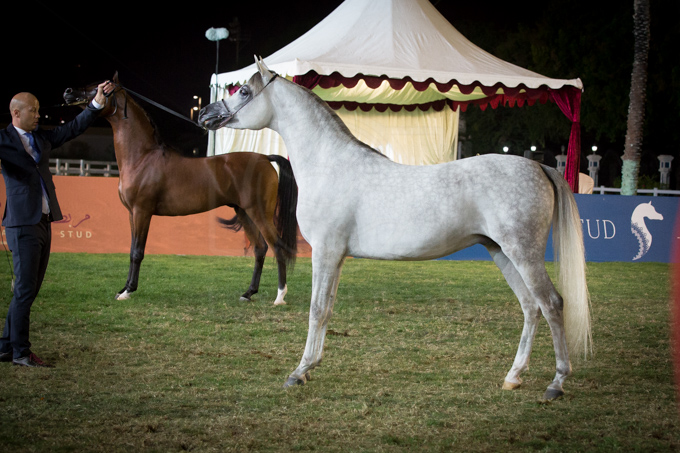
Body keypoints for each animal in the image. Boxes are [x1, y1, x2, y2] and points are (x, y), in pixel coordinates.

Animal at [63, 73, 298, 305]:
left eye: (99, 87)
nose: (68, 92)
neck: (142, 157)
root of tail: (264, 158)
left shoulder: (142, 212)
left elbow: (137, 252)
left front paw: (128, 291)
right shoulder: (132, 213)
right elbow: (131, 250)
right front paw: (124, 288)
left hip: (259, 213)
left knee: (277, 247)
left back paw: (280, 296)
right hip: (243, 212)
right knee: (260, 248)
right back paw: (248, 293)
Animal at [198, 58, 591, 400]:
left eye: (244, 91)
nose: (206, 114)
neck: (329, 164)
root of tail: (539, 167)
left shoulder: (326, 251)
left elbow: (315, 309)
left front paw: (298, 372)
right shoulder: (336, 256)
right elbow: (327, 309)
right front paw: (310, 368)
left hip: (523, 253)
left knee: (552, 303)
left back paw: (556, 383)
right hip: (501, 252)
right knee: (530, 306)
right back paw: (513, 376)